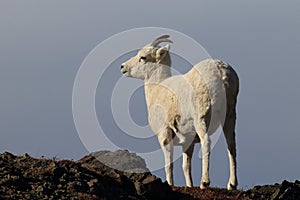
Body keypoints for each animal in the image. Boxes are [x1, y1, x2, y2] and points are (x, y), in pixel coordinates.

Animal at [119, 35, 239, 190]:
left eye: (143, 57)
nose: (123, 67)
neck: (159, 88)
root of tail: (221, 72)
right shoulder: (188, 141)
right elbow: (186, 166)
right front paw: (189, 186)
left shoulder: (165, 135)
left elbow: (168, 165)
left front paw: (170, 184)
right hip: (229, 116)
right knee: (231, 145)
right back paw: (232, 185)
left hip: (202, 118)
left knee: (207, 142)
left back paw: (204, 182)